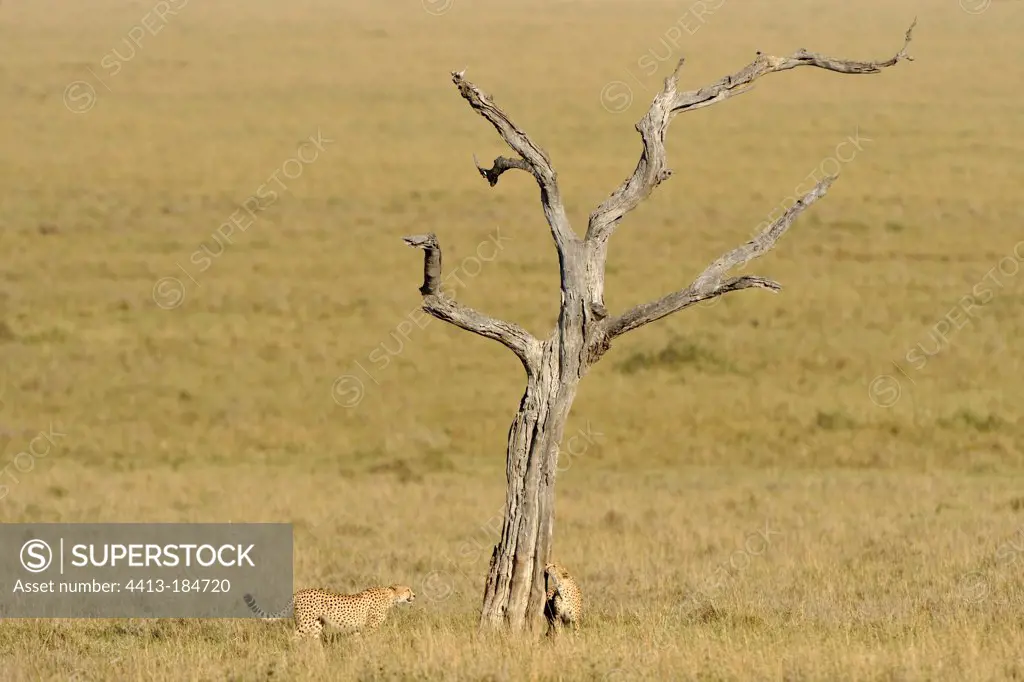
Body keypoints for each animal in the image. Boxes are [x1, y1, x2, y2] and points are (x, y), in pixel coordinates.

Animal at [241, 581, 413, 638]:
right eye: (408, 590)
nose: (415, 595)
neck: (390, 595)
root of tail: (299, 592)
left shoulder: (358, 628)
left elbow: (358, 640)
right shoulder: (371, 627)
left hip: (317, 624)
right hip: (305, 623)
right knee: (295, 637)